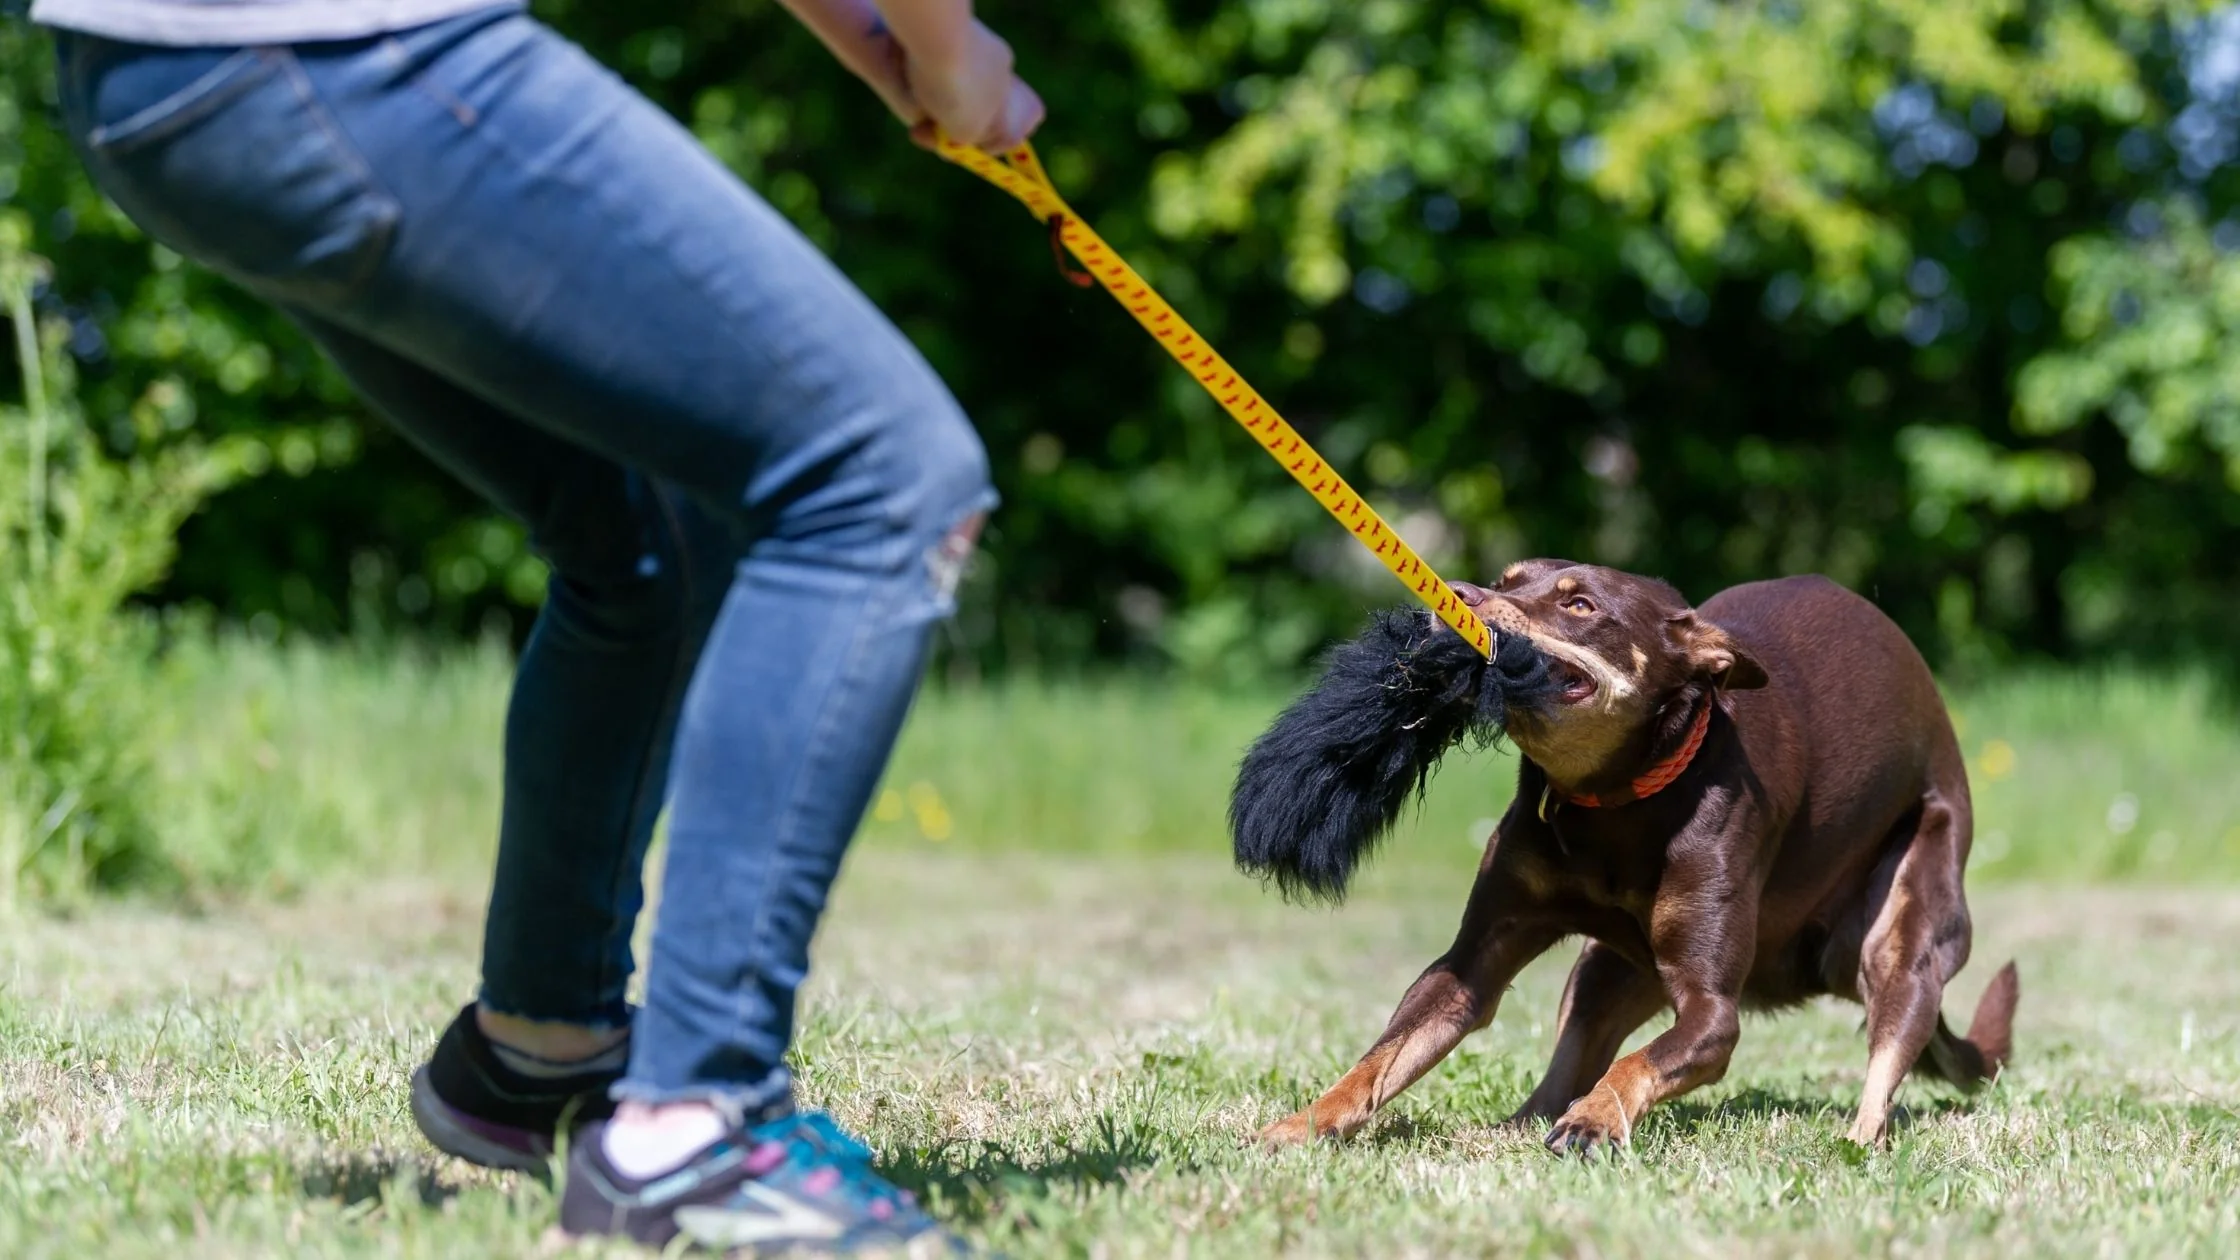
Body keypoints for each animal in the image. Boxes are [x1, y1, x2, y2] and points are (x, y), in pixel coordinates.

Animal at [1245, 558, 2016, 1147]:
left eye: (1580, 605)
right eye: (1504, 577)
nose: (1455, 594)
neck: (1614, 803)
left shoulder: (1711, 1011)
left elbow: (1640, 1064)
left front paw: (1594, 1123)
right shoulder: (1472, 960)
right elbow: (1387, 1055)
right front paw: (1302, 1125)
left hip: (1908, 919)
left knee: (1890, 1039)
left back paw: (1857, 1142)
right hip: (1609, 967)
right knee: (1565, 1063)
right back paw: (1510, 1130)